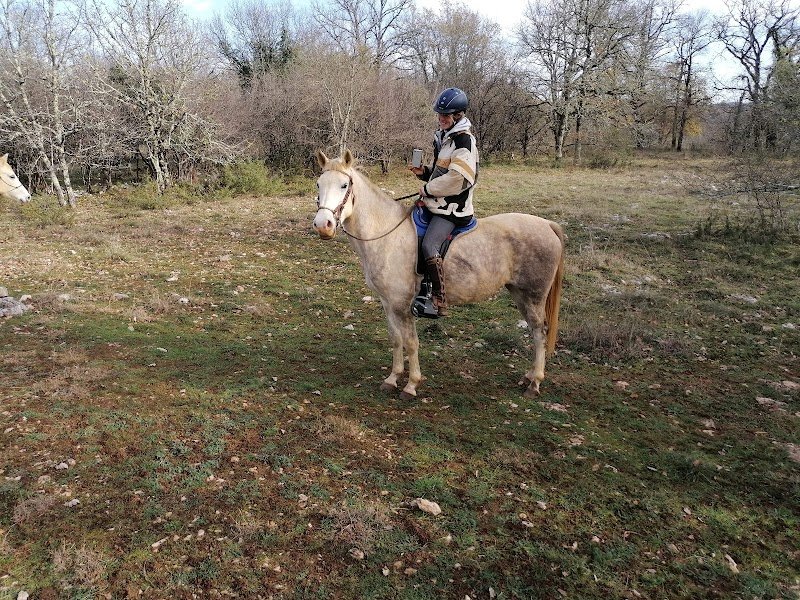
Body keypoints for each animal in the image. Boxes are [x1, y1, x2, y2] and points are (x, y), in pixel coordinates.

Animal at [312, 148, 565, 400]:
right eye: (318, 184)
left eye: (344, 185)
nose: (323, 225)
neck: (387, 234)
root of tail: (548, 225)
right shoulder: (388, 302)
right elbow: (395, 339)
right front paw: (392, 379)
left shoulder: (402, 305)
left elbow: (411, 342)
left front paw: (411, 385)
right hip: (520, 294)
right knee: (534, 330)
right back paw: (529, 377)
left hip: (534, 296)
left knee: (540, 332)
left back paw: (535, 382)